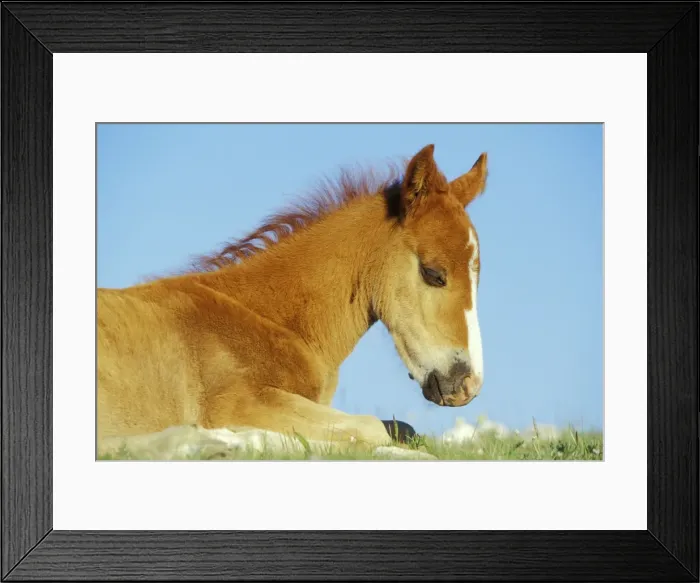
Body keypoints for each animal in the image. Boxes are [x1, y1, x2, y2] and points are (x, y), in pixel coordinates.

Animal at [96, 143, 488, 457]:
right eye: (433, 273)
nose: (468, 385)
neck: (271, 319)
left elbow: (402, 429)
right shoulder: (239, 402)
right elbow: (371, 429)